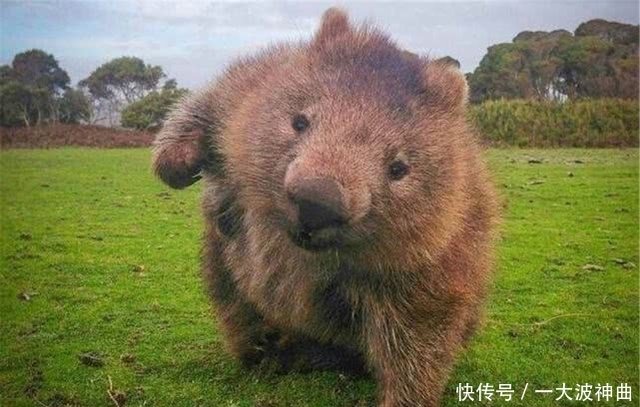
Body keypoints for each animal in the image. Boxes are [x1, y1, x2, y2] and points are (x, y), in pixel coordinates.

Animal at [152, 8, 499, 407]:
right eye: (299, 122)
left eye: (398, 169)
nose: (317, 202)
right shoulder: (254, 83)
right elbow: (210, 102)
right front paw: (177, 163)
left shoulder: (437, 257)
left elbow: (421, 332)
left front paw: (404, 398)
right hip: (221, 266)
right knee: (232, 300)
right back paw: (264, 350)